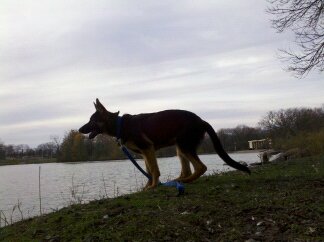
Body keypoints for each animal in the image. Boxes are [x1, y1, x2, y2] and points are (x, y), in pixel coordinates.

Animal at [78, 98, 251, 189]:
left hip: (184, 146)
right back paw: (178, 181)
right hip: (180, 149)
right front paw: (147, 187)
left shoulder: (148, 149)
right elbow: (149, 171)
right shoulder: (145, 153)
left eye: (92, 120)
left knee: (201, 168)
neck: (120, 125)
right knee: (188, 170)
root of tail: (201, 121)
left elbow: (154, 170)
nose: (79, 130)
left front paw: (154, 186)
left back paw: (183, 182)